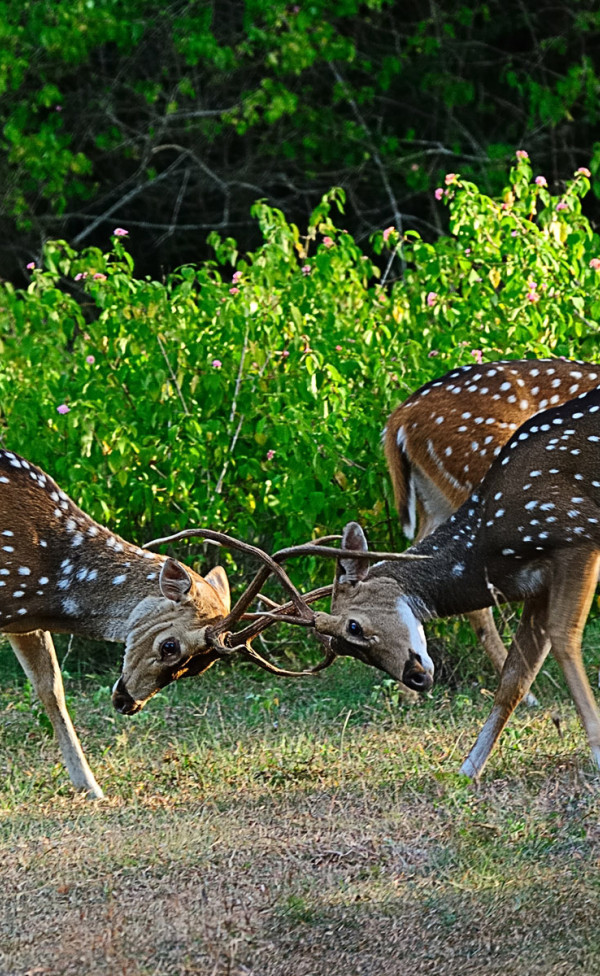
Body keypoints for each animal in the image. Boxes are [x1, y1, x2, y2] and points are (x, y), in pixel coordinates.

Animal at [0, 450, 232, 800]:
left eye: (198, 668)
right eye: (170, 646)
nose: (128, 704)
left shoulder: (22, 621)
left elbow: (51, 689)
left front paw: (90, 786)